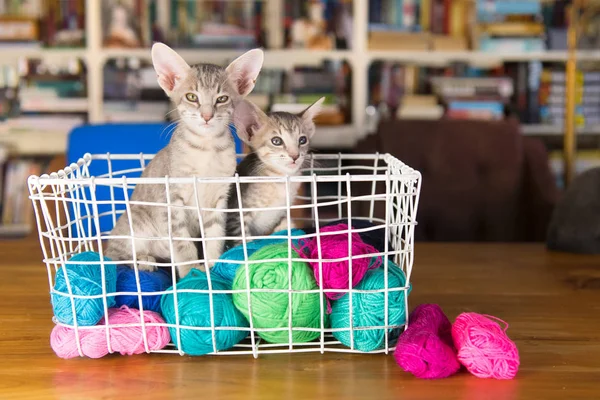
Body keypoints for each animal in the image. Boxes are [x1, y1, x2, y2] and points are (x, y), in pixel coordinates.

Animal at [105, 42, 262, 276]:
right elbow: (182, 244)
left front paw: (212, 269)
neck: (206, 151)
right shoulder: (171, 201)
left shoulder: (219, 201)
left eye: (222, 99)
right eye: (192, 97)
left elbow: (214, 237)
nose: (207, 116)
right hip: (135, 225)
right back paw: (144, 260)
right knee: (113, 257)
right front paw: (190, 275)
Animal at [225, 97, 324, 247]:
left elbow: (285, 228)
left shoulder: (282, 213)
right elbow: (243, 243)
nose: (295, 156)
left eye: (302, 140)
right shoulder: (235, 215)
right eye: (276, 141)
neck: (279, 180)